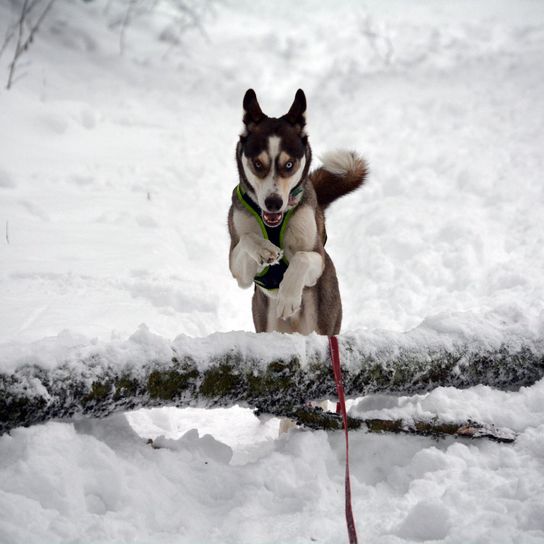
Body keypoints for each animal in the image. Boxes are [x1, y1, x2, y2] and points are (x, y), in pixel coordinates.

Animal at [227, 88, 368, 336]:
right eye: (258, 164)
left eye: (289, 164)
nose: (273, 202)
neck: (274, 225)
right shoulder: (240, 273)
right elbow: (246, 239)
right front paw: (264, 248)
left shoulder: (317, 258)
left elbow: (302, 257)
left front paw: (287, 297)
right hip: (266, 321)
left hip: (321, 318)